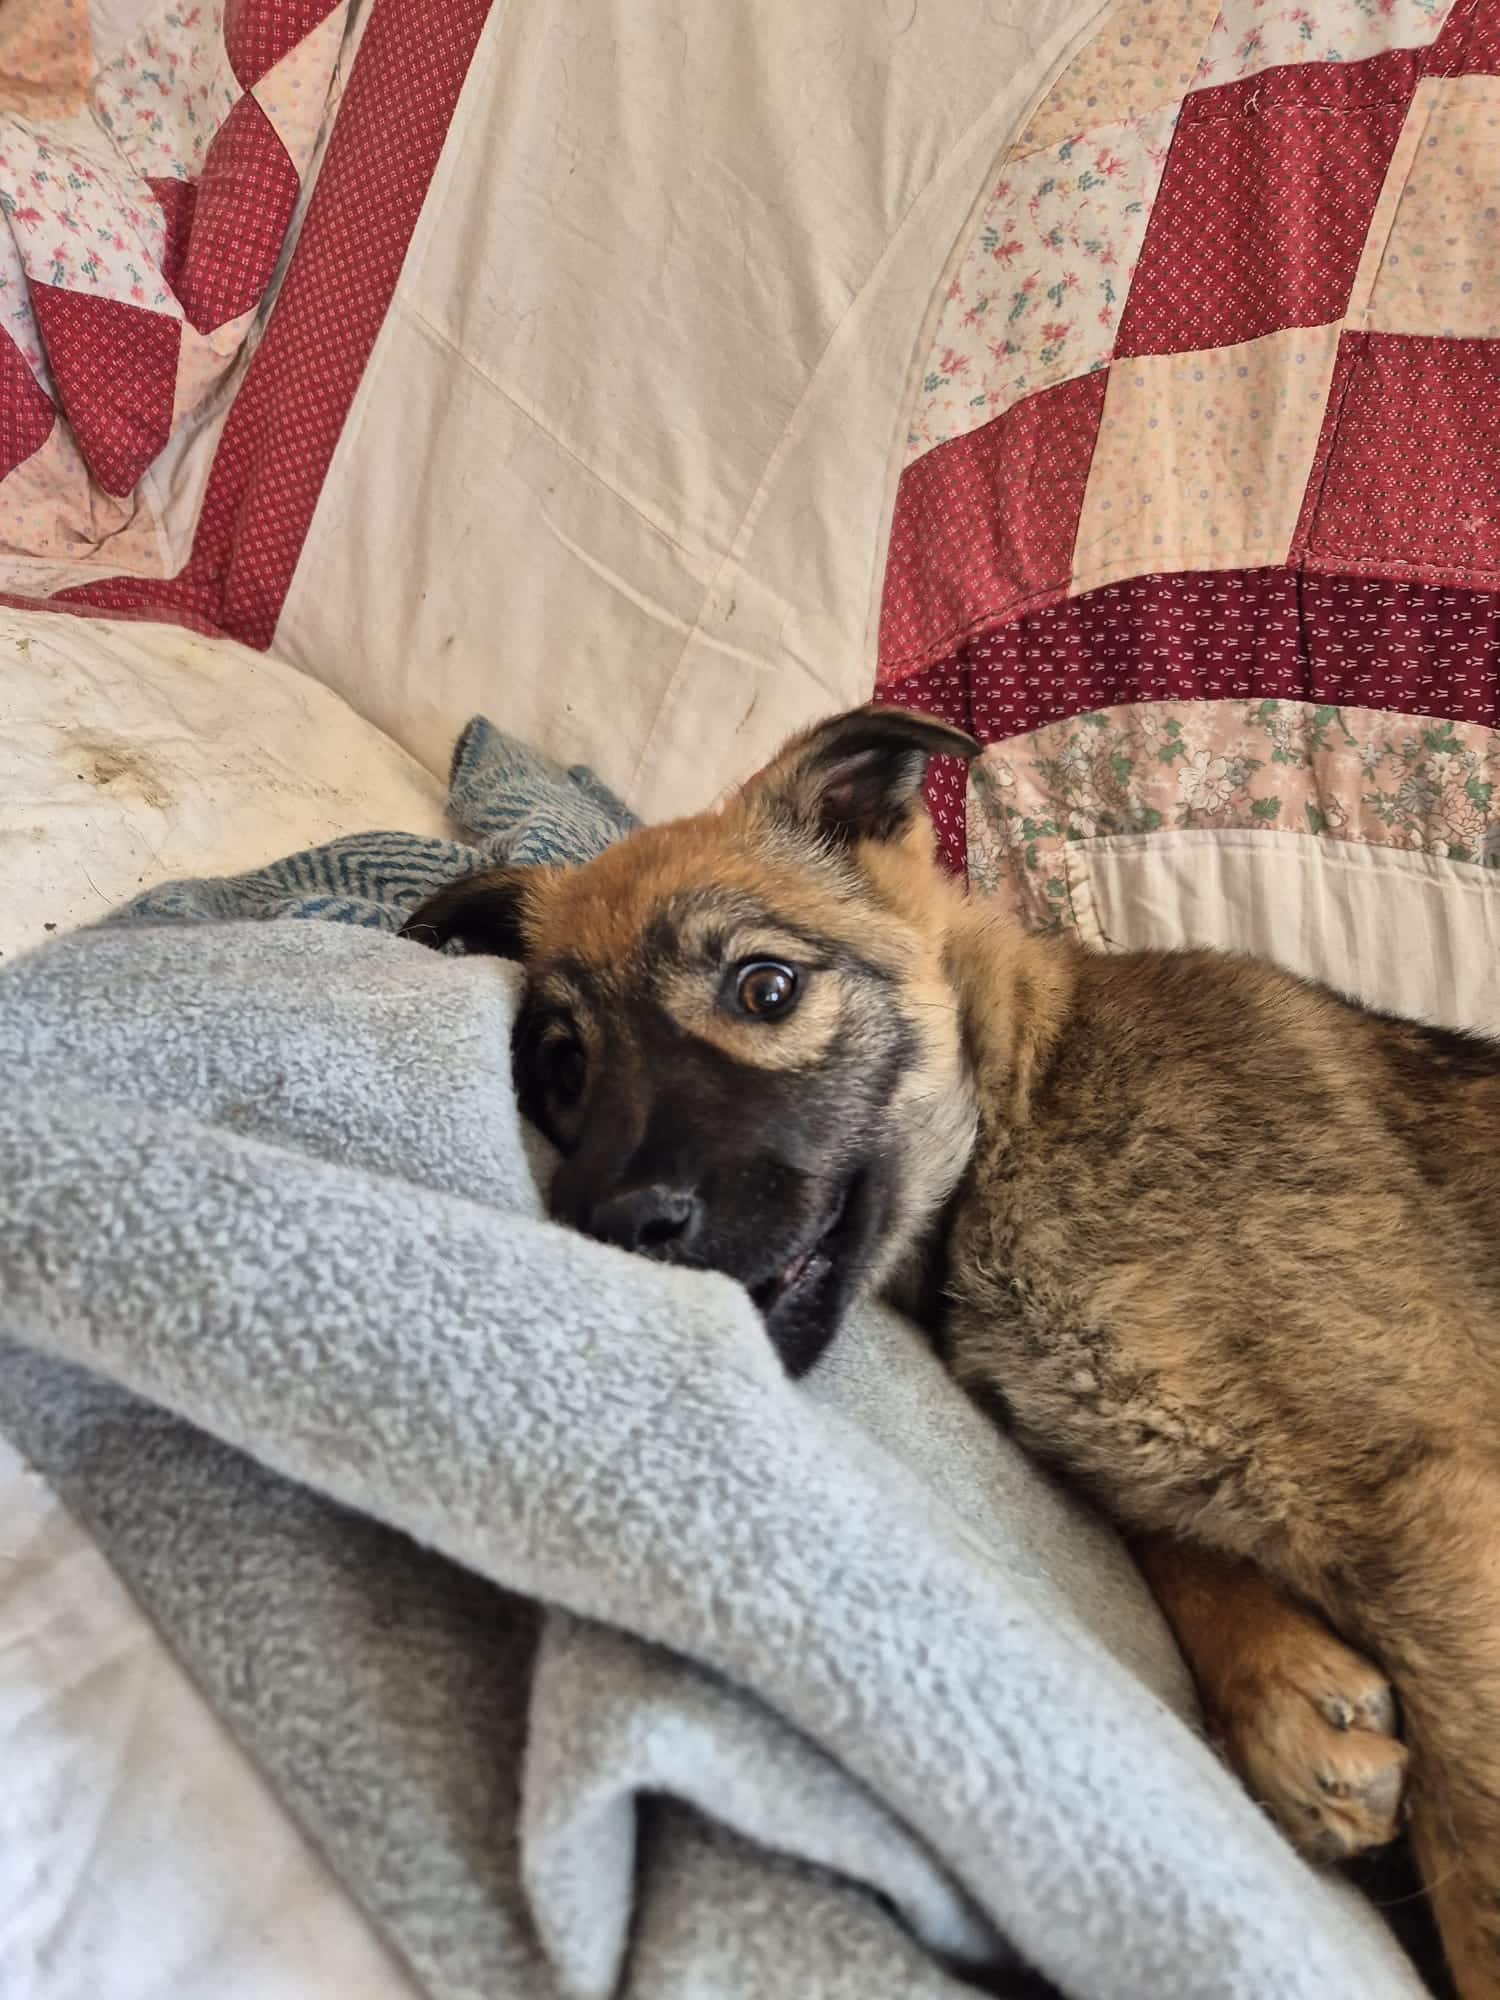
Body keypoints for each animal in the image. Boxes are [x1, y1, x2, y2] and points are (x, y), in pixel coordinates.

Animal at [403, 704, 1500, 1998]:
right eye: (565, 1064)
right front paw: (1288, 1692)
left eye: (764, 985)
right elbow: (1172, 1529)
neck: (1026, 1100)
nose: (617, 1226)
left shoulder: (1426, 1487)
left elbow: (1478, 1850)